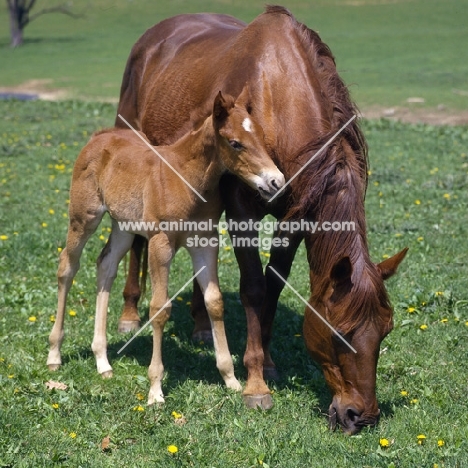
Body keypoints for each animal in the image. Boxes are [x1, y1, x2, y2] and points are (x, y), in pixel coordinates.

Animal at [46, 90, 286, 402]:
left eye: (260, 136)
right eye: (235, 143)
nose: (277, 181)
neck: (186, 178)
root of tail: (99, 136)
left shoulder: (205, 241)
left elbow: (214, 302)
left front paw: (231, 379)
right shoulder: (160, 243)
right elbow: (160, 308)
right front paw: (155, 390)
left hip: (123, 225)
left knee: (106, 266)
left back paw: (102, 361)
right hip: (83, 217)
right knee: (68, 266)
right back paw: (54, 354)